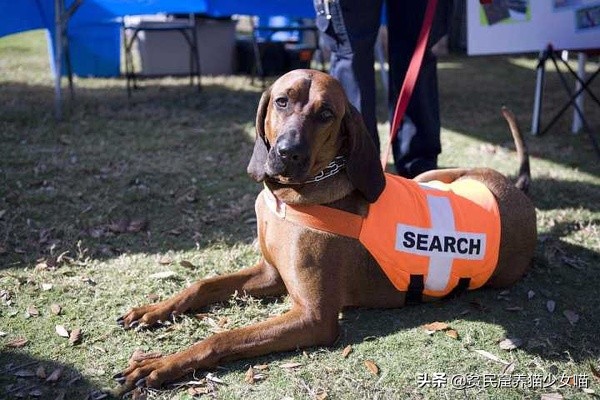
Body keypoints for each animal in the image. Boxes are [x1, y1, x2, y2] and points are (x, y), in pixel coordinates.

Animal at [115, 68, 536, 390]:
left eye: (326, 113)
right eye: (282, 101)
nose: (288, 153)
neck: (293, 196)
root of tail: (517, 191)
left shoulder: (313, 318)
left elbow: (224, 336)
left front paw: (161, 364)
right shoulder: (271, 275)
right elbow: (202, 285)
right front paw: (153, 310)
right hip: (431, 176)